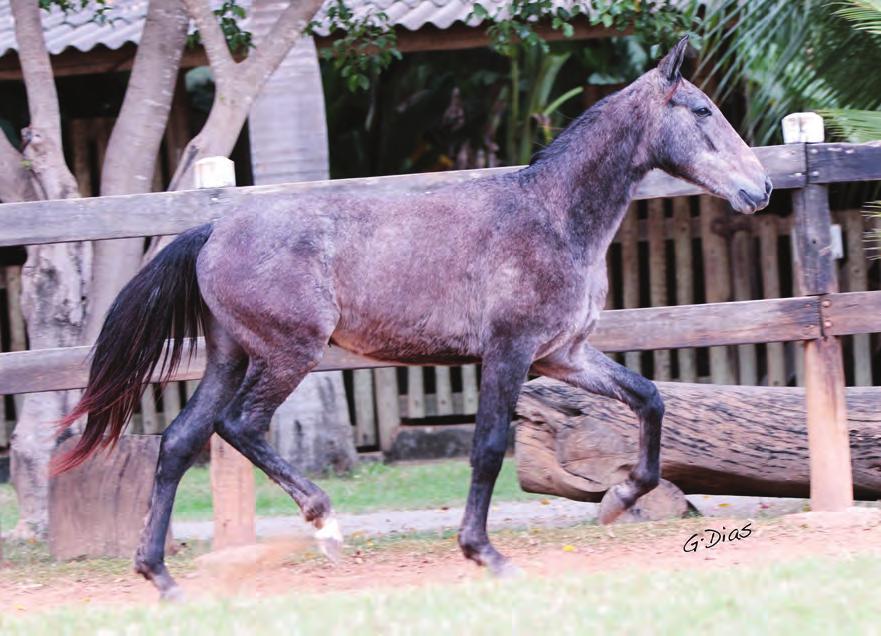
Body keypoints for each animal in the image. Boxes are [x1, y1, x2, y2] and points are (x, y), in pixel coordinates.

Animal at [56, 37, 768, 600]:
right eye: (703, 111)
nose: (758, 189)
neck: (551, 217)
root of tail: (212, 229)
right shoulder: (508, 353)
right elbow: (489, 447)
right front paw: (486, 555)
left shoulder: (561, 354)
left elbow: (649, 399)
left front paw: (619, 501)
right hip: (288, 353)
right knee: (239, 426)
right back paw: (325, 524)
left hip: (231, 355)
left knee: (180, 441)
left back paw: (163, 580)